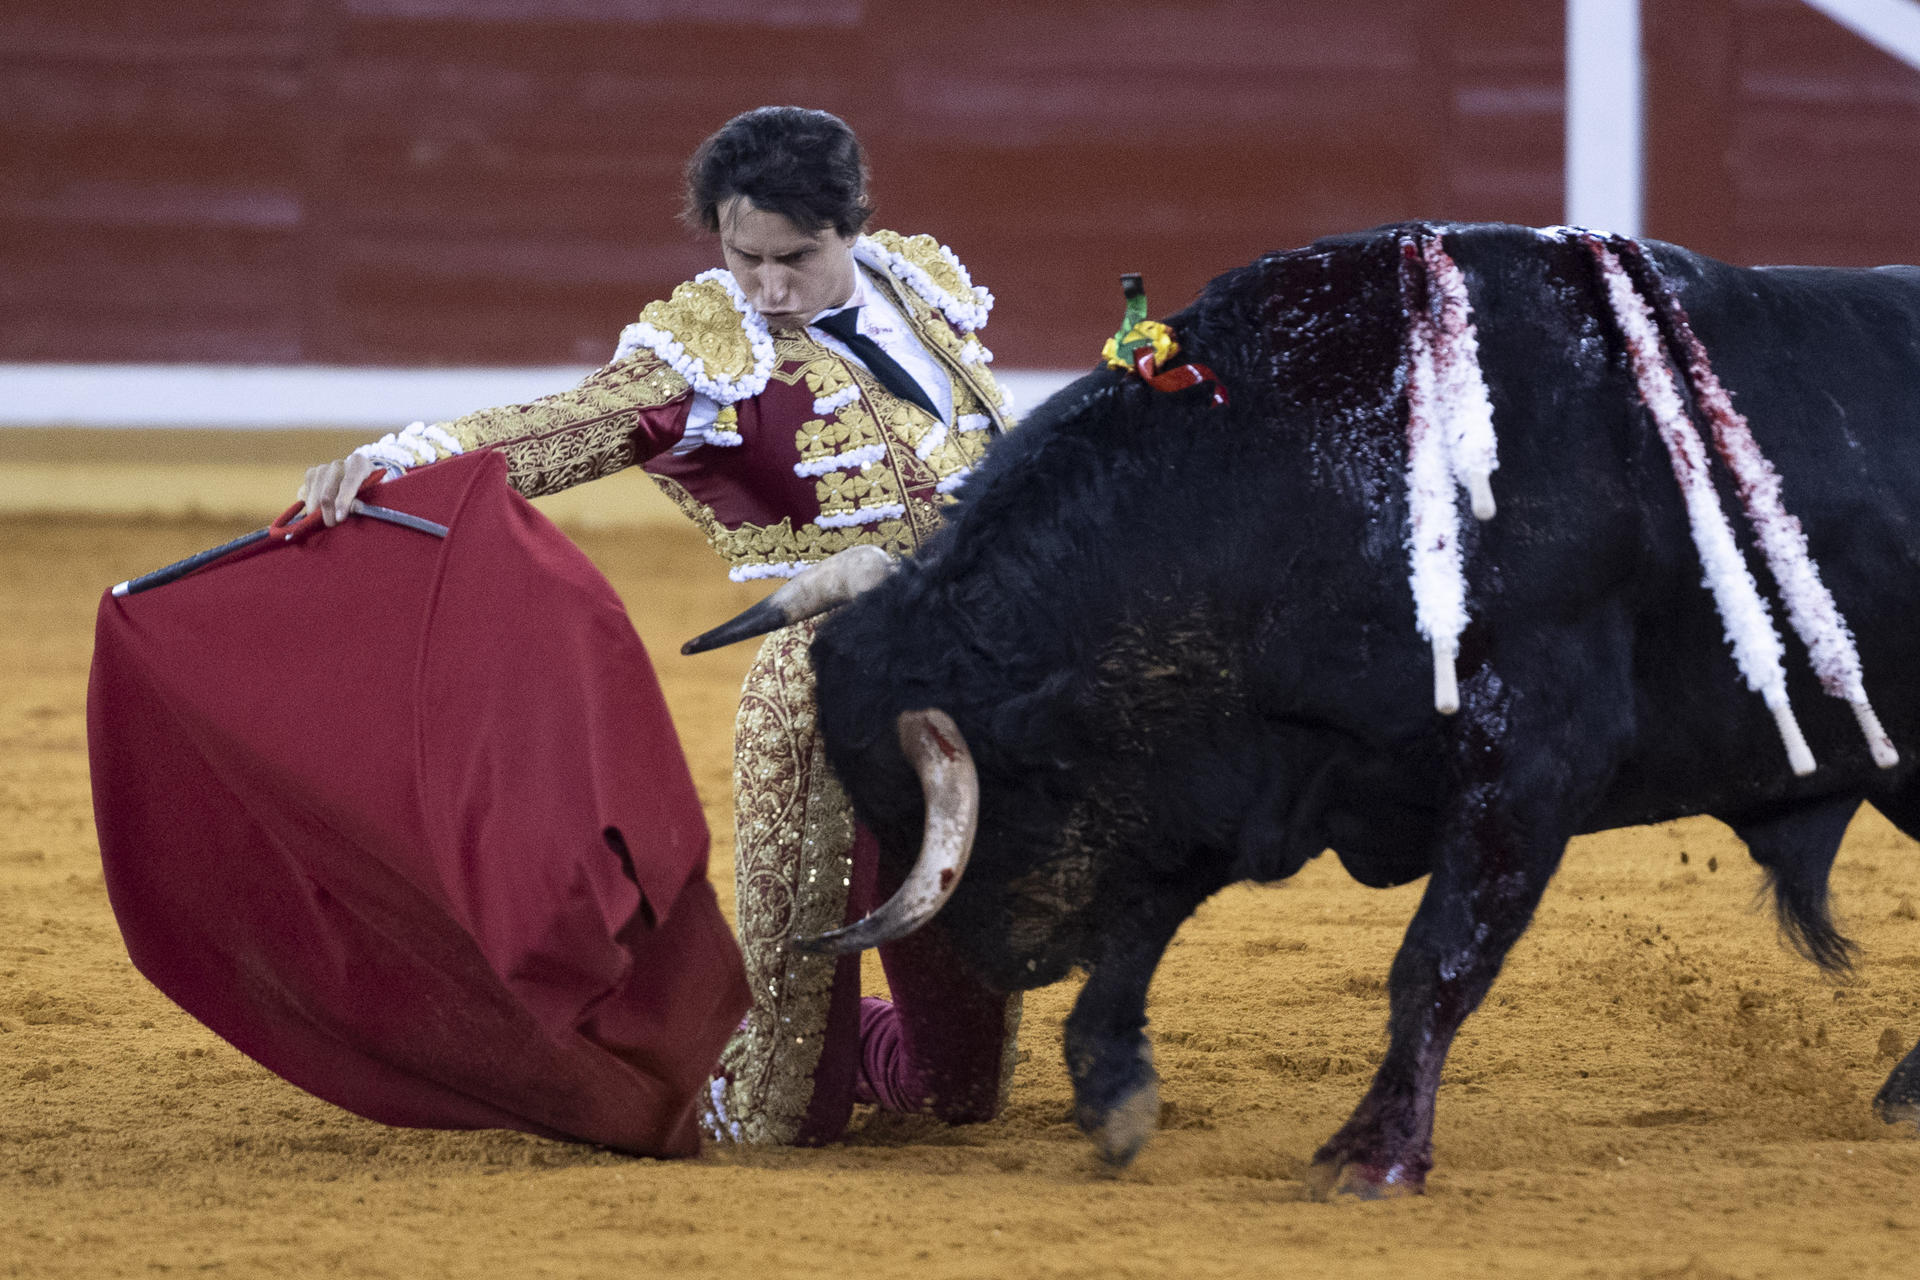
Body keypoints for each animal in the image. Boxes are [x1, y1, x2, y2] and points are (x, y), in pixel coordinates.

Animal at [702, 220, 1920, 1189]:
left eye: (943, 801)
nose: (989, 965)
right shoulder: (1245, 769)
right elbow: (1143, 921)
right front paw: (1117, 1097)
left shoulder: (1533, 760)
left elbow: (1436, 960)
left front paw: (1369, 1156)